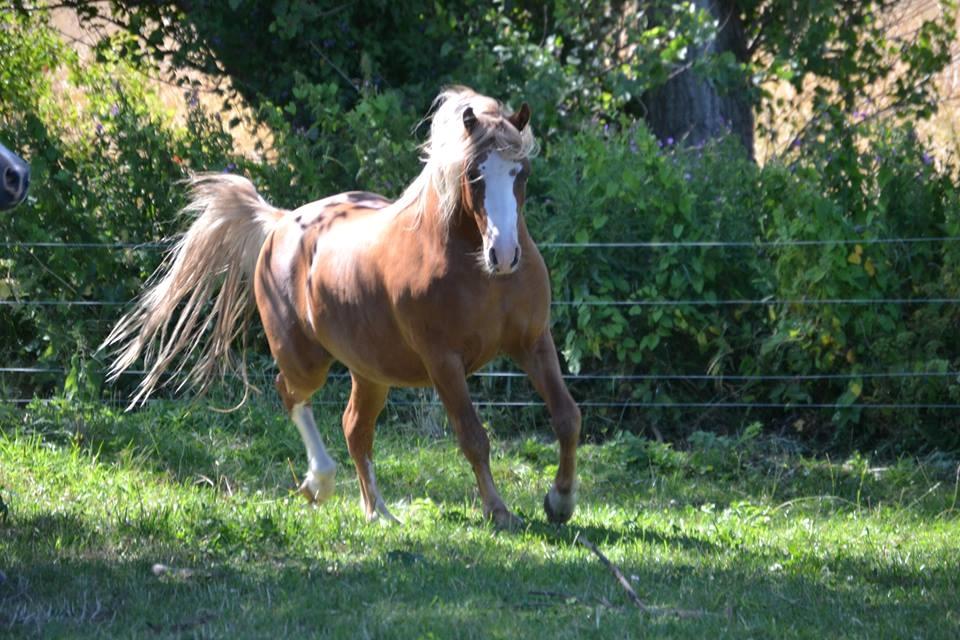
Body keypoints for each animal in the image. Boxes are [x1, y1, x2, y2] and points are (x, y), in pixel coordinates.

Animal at [99, 87, 576, 528]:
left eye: (522, 171)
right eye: (475, 173)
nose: (504, 254)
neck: (475, 269)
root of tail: (281, 222)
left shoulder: (533, 342)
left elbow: (567, 416)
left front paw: (560, 502)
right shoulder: (444, 361)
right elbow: (473, 435)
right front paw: (499, 510)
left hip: (371, 371)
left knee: (355, 429)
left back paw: (378, 511)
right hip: (306, 360)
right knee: (291, 394)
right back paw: (320, 483)